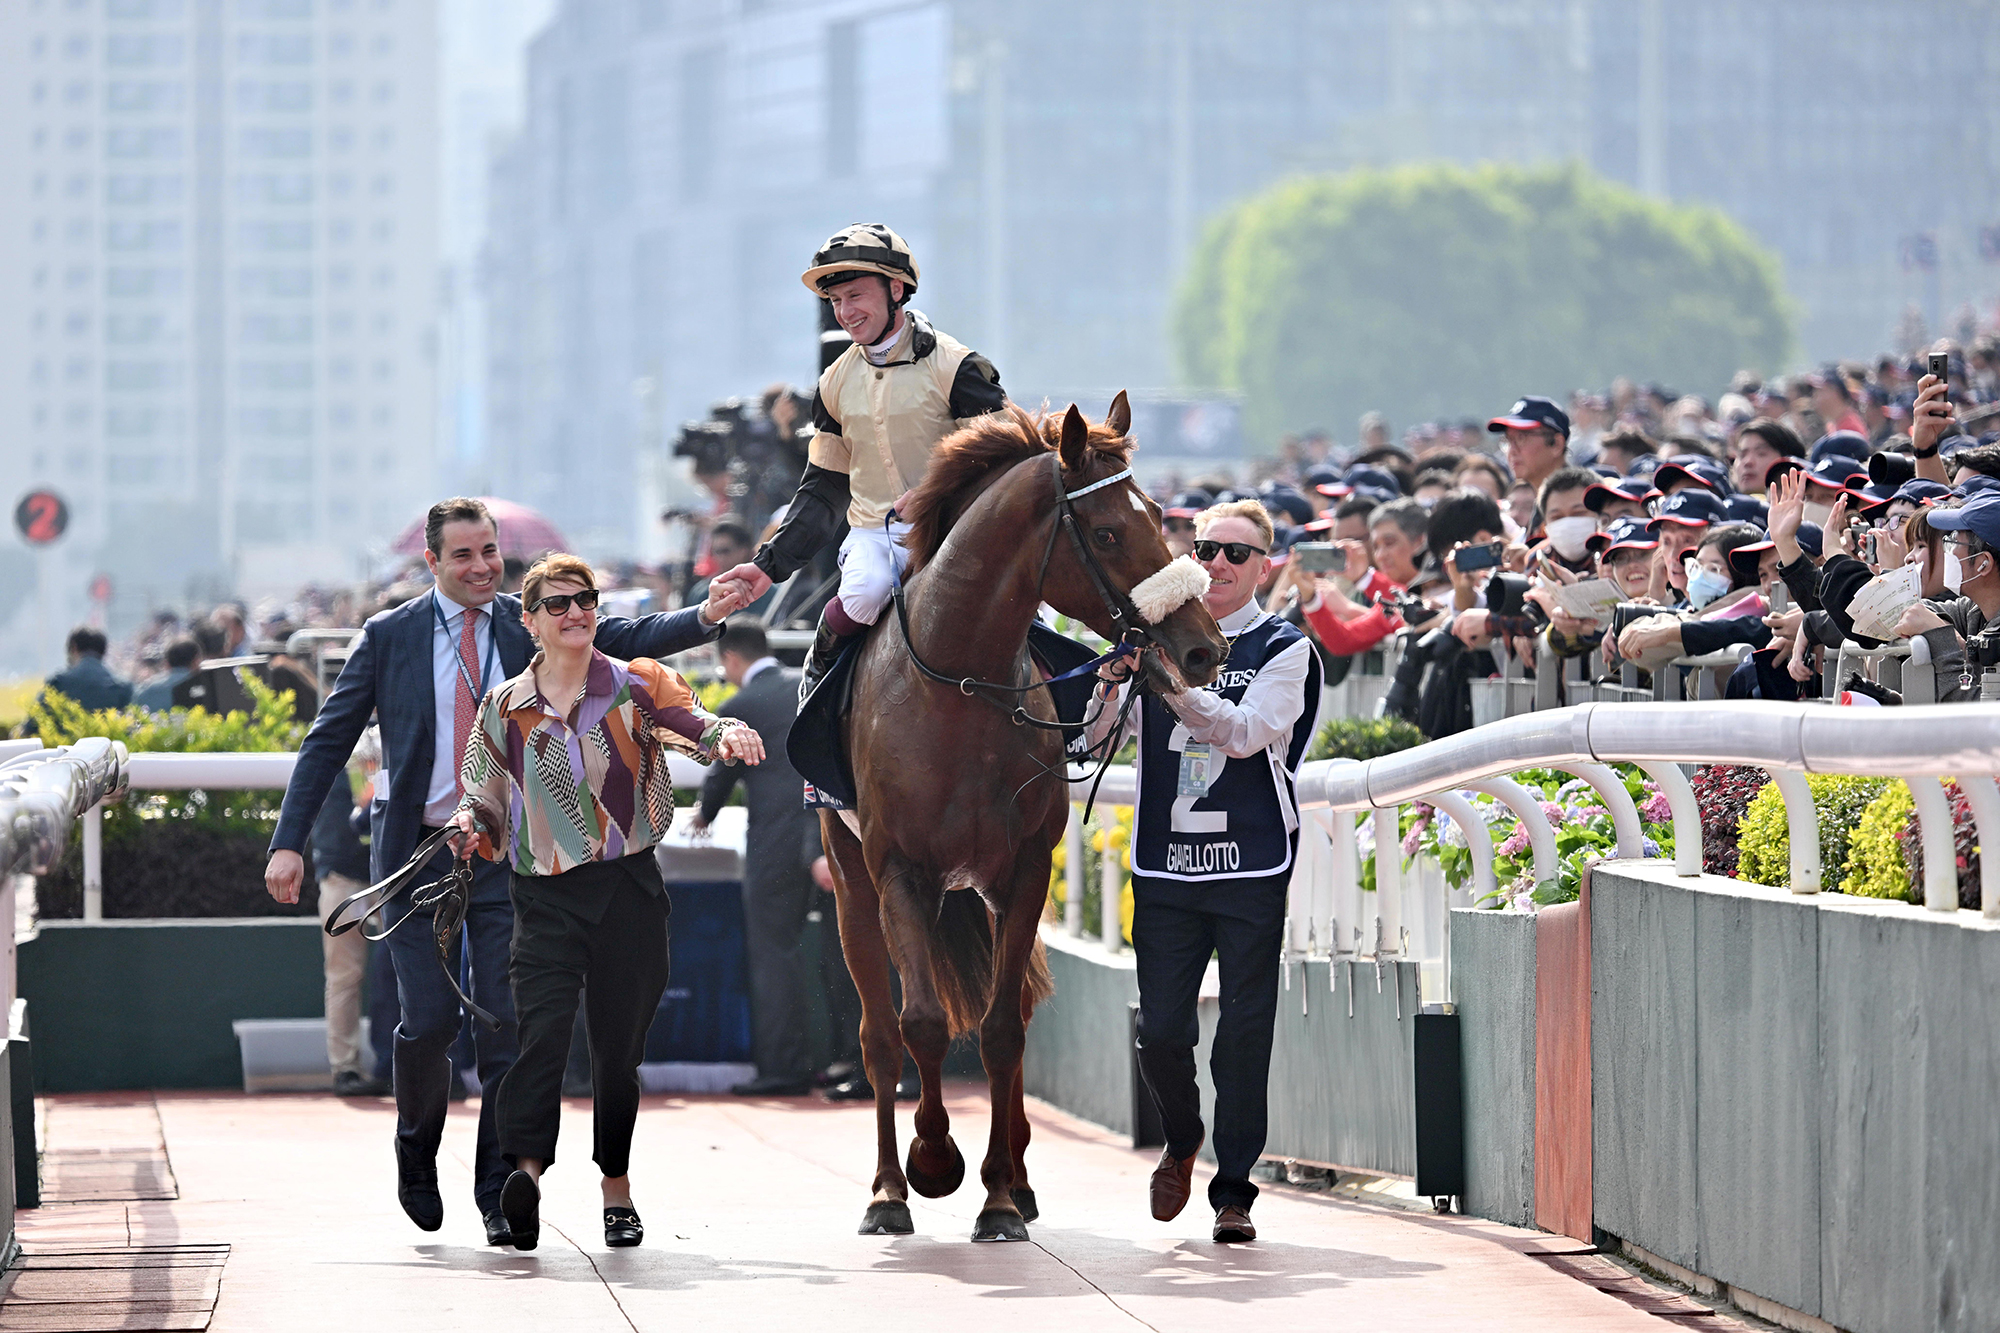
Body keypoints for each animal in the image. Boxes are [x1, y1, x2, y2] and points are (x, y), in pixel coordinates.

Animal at [816, 394, 1224, 1232]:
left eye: (1158, 511)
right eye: (1107, 531)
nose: (1203, 647)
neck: (957, 687)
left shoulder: (1025, 868)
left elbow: (1005, 1026)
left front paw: (1001, 1193)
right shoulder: (900, 870)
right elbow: (921, 1021)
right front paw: (932, 1160)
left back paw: (1019, 1178)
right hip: (850, 879)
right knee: (878, 1033)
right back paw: (886, 1187)